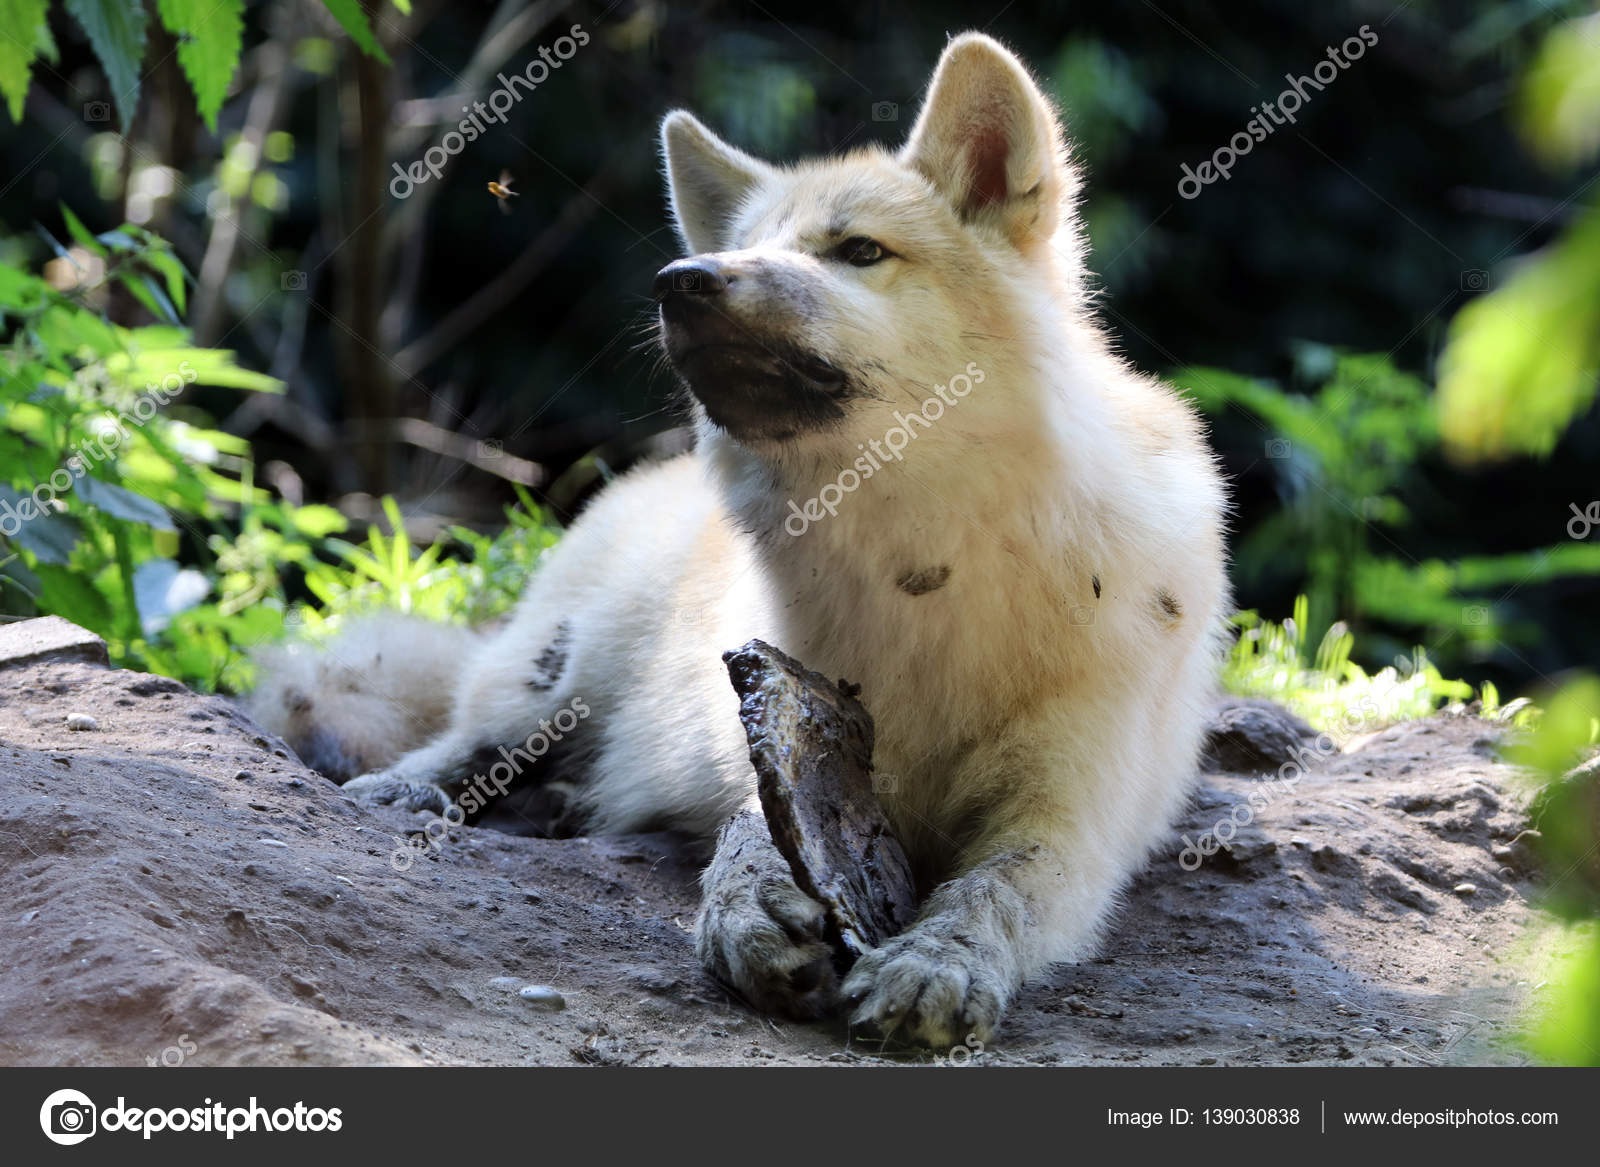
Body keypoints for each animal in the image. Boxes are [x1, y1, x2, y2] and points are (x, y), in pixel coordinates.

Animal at [251, 32, 1229, 1047]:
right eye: (748, 243)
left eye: (859, 251)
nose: (683, 280)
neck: (926, 570)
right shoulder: (769, 731)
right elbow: (751, 833)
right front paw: (748, 909)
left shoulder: (1072, 813)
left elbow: (998, 887)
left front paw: (936, 965)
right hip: (553, 678)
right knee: (467, 735)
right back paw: (416, 789)